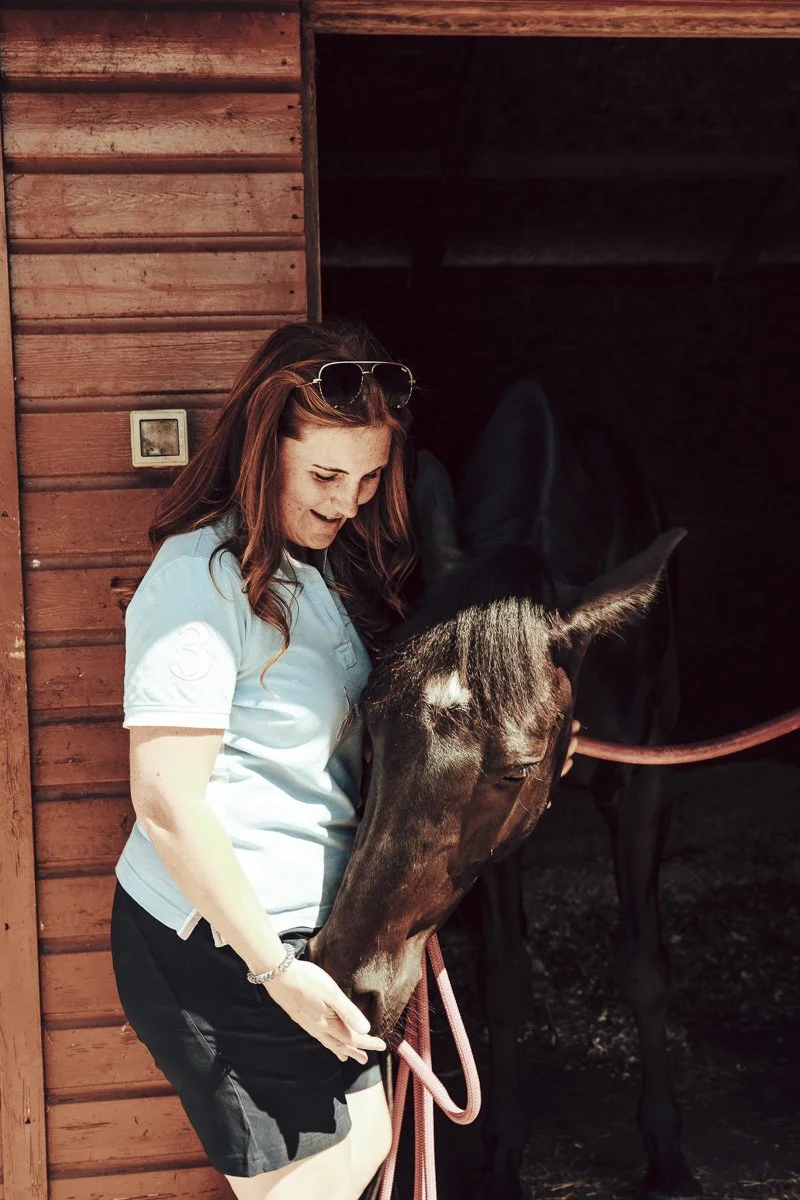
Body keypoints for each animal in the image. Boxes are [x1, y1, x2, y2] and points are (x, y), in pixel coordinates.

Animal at [311, 380, 700, 1200]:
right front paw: (501, 1154)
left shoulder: (645, 781)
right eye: (372, 727)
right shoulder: (500, 852)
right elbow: (503, 977)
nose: (348, 983)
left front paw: (666, 1150)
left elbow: (645, 966)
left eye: (515, 770)